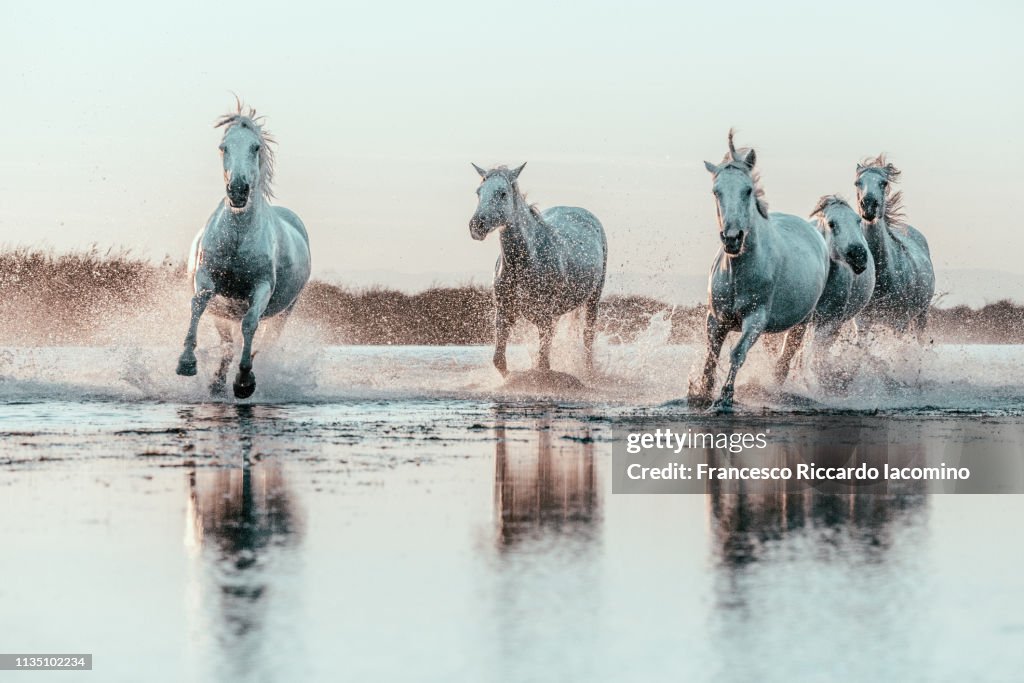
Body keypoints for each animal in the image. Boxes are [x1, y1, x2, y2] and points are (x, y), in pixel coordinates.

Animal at [174, 104, 309, 397]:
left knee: (262, 340)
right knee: (227, 343)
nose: (237, 190)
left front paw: (244, 380)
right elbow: (197, 304)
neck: (237, 235)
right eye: (223, 147)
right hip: (224, 313)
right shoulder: (207, 278)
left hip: (285, 310)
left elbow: (250, 324)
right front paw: (186, 363)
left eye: (255, 147)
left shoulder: (261, 287)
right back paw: (216, 384)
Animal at [466, 163, 602, 378]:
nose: (476, 226)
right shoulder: (504, 313)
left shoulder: (545, 317)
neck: (525, 261)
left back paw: (588, 373)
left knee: (588, 338)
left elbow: (543, 365)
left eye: (503, 193)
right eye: (479, 192)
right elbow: (499, 361)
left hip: (593, 299)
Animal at [688, 134, 831, 411]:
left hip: (802, 321)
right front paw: (701, 393)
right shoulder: (715, 319)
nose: (732, 238)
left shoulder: (755, 318)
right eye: (716, 191)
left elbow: (737, 353)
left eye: (747, 190)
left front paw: (725, 398)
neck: (737, 272)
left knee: (785, 359)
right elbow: (711, 355)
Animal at [851, 154, 933, 335]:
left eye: (884, 183)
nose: (868, 206)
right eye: (857, 183)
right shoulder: (863, 322)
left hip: (921, 315)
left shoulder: (899, 323)